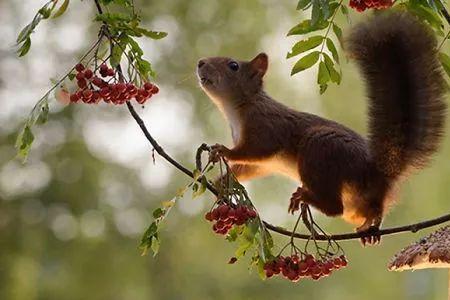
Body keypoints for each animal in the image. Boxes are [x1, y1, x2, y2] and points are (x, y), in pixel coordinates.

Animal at [196, 11, 446, 246]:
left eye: (233, 66)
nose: (200, 63)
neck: (238, 108)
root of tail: (374, 172)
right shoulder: (263, 162)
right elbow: (251, 167)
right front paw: (221, 181)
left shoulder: (267, 126)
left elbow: (256, 151)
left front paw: (224, 151)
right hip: (355, 201)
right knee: (368, 210)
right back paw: (370, 227)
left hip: (319, 147)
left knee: (335, 207)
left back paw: (306, 197)